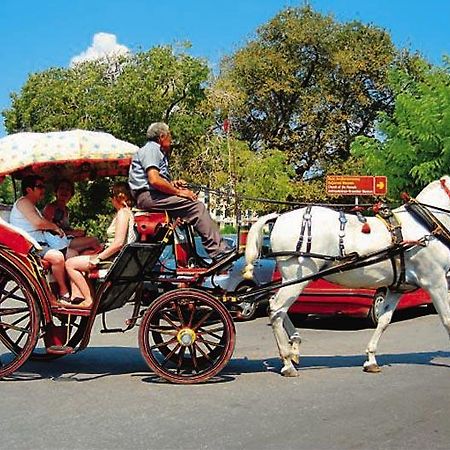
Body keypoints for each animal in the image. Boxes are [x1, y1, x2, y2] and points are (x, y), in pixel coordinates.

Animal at [244, 176, 450, 376]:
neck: (425, 228)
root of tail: (279, 217)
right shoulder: (436, 281)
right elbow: (447, 320)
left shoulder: (396, 288)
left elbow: (383, 321)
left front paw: (371, 359)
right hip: (296, 278)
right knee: (276, 309)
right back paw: (287, 361)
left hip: (292, 280)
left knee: (275, 305)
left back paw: (294, 346)